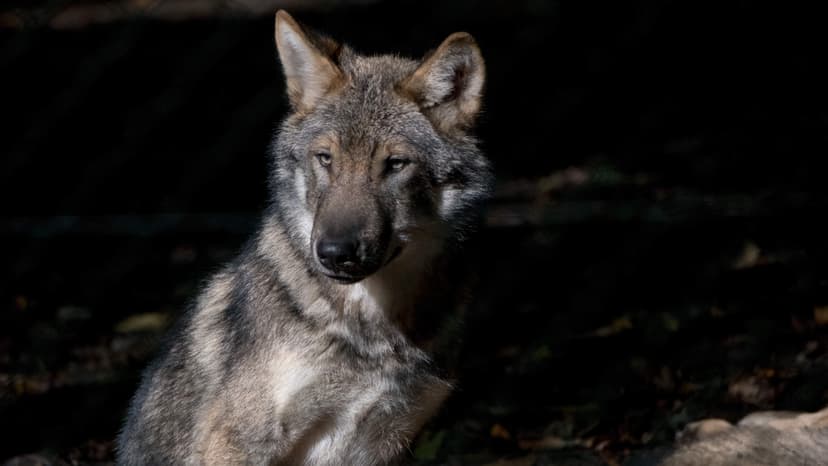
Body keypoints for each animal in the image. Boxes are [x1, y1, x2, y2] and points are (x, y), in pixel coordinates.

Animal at [117, 10, 491, 465]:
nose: (334, 253)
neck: (373, 333)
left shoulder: (384, 444)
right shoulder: (240, 439)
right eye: (325, 158)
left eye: (395, 164)